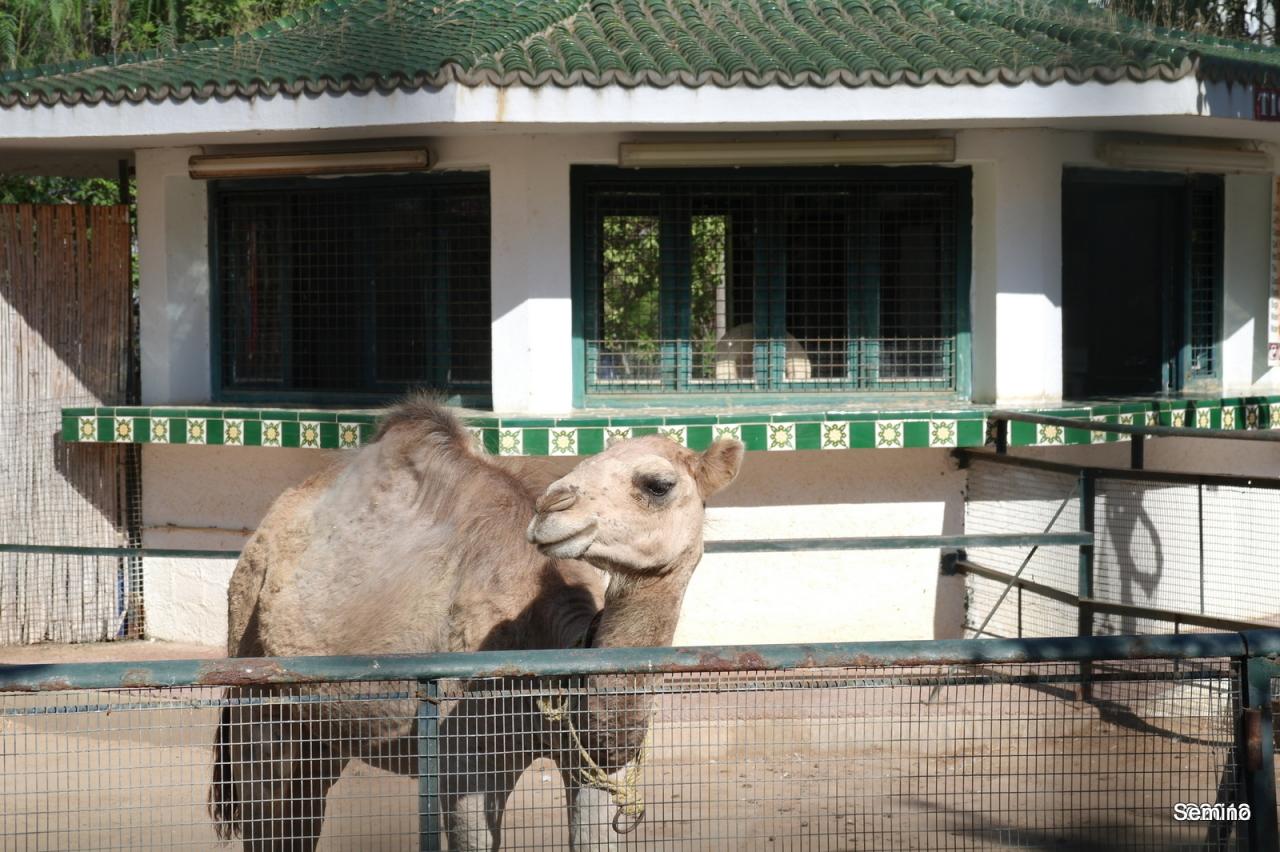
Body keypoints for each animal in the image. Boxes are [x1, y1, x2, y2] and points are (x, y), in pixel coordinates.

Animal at [206, 394, 747, 844]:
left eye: (658, 484)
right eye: (582, 465)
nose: (553, 505)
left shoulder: (593, 770)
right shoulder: (466, 764)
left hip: (324, 725)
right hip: (253, 677)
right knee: (266, 812)